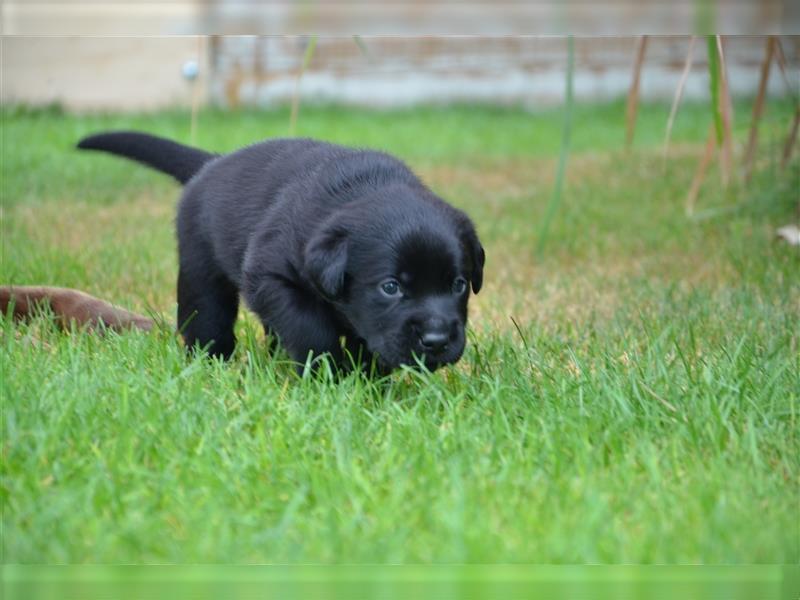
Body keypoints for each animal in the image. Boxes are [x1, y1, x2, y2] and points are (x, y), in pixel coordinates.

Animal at [78, 134, 484, 372]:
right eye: (391, 287)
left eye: (459, 284)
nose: (436, 340)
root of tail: (212, 163)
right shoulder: (269, 275)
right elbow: (309, 328)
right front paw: (329, 372)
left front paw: (370, 377)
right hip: (200, 267)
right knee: (207, 317)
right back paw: (212, 364)